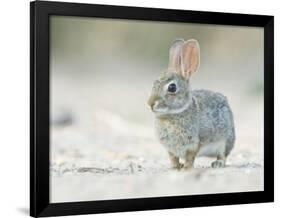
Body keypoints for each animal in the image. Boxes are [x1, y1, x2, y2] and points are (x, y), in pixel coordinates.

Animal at [147, 38, 234, 169]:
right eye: (154, 84)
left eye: (172, 88)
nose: (150, 103)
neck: (174, 114)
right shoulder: (170, 149)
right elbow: (173, 158)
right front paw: (175, 167)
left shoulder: (194, 143)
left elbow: (190, 157)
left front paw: (186, 168)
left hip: (225, 140)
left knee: (223, 155)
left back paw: (217, 163)